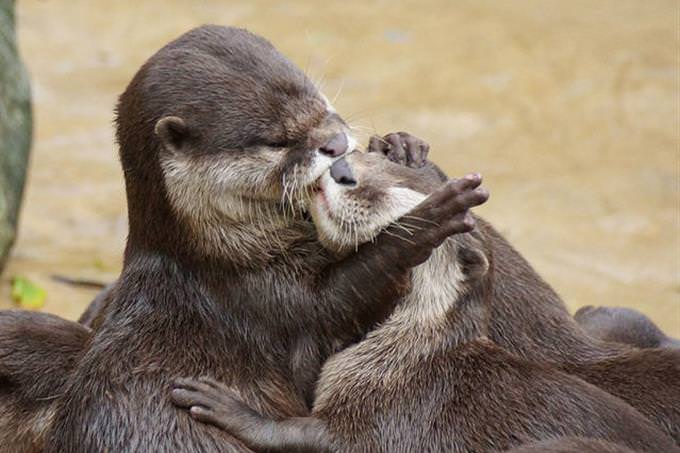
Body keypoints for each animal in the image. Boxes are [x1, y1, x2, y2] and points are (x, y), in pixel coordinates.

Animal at [41, 25, 488, 452]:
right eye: (276, 141)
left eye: (321, 100)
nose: (336, 144)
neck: (226, 255)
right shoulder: (263, 302)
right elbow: (339, 300)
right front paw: (425, 222)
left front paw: (404, 147)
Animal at [170, 149, 676, 452]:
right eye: (361, 154)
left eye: (403, 202)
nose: (339, 170)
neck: (408, 357)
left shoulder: (389, 411)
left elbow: (302, 434)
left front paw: (227, 406)